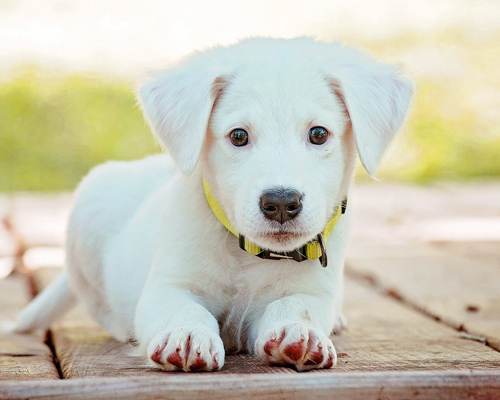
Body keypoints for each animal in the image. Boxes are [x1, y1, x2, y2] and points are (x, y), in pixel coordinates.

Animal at [16, 37, 414, 372]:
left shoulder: (313, 291)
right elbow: (184, 308)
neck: (247, 254)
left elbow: (295, 305)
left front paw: (297, 332)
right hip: (89, 211)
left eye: (318, 134)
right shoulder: (168, 286)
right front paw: (187, 334)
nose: (281, 203)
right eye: (238, 136)